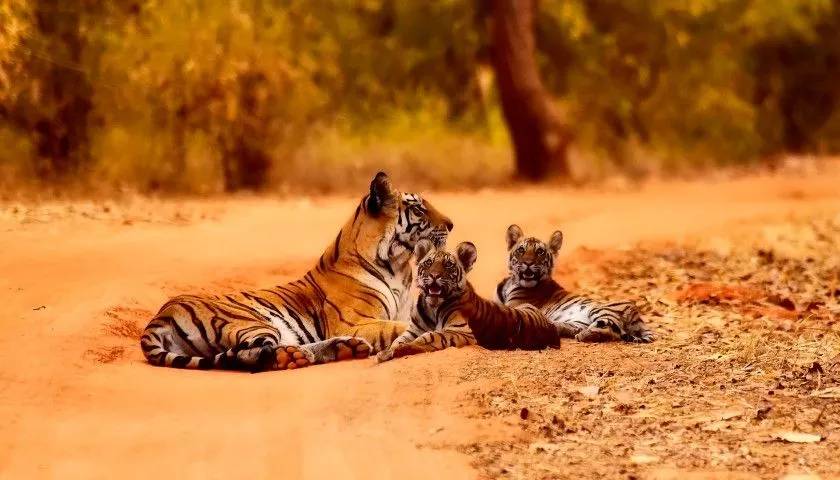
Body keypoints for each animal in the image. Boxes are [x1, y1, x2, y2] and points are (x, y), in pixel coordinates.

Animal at [139, 172, 452, 372]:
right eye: (419, 210)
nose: (451, 224)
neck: (399, 267)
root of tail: (160, 316)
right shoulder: (355, 322)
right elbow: (398, 328)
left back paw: (344, 349)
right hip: (252, 322)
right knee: (250, 354)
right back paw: (299, 356)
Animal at [378, 238, 560, 362]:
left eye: (448, 265)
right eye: (429, 263)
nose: (434, 275)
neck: (432, 306)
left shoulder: (461, 331)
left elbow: (430, 336)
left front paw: (397, 350)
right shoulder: (413, 329)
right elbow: (398, 339)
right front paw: (387, 352)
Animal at [496, 223, 652, 344]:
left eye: (540, 252)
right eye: (521, 250)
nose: (528, 263)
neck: (511, 282)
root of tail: (638, 317)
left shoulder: (515, 306)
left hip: (600, 310)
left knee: (611, 331)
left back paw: (584, 335)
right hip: (578, 321)